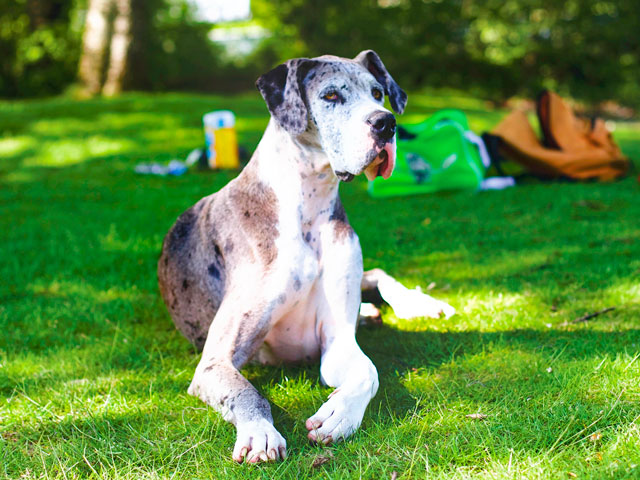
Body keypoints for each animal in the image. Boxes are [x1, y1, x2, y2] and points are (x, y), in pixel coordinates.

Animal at [157, 50, 452, 464]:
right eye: (330, 96)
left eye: (378, 93)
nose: (386, 123)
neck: (307, 206)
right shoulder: (215, 361)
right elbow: (247, 392)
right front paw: (260, 432)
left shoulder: (338, 342)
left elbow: (368, 372)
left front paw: (339, 415)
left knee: (377, 273)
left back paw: (416, 303)